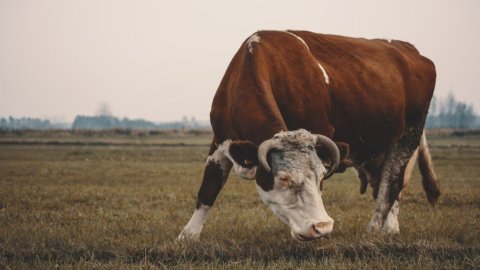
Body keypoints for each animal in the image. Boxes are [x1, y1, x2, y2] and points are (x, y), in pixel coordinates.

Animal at [176, 30, 438, 242]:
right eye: (283, 178)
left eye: (322, 173)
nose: (321, 227)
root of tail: (409, 49)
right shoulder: (220, 141)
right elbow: (208, 189)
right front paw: (188, 236)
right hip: (378, 149)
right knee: (385, 183)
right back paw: (389, 228)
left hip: (407, 137)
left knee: (391, 184)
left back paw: (375, 230)